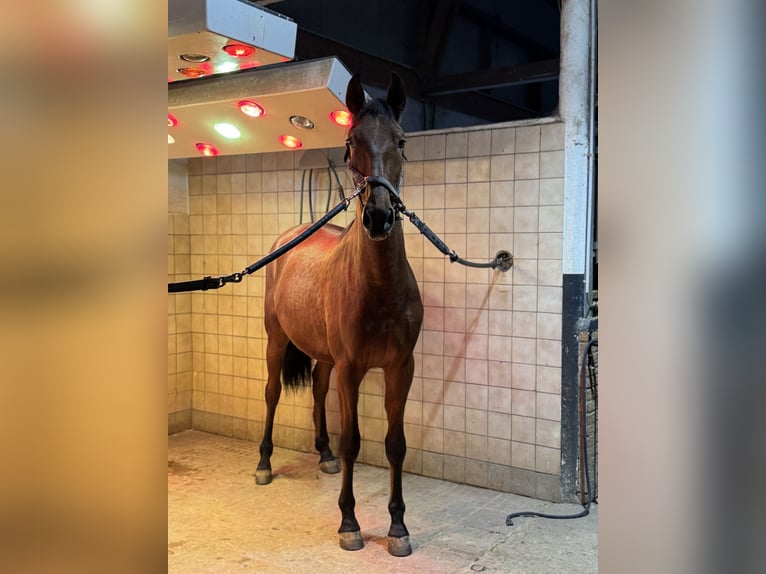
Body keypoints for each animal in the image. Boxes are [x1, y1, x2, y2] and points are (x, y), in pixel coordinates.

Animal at [254, 72, 424, 557]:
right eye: (350, 143)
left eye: (401, 141)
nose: (379, 217)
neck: (379, 288)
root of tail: (289, 237)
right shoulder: (352, 368)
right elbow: (354, 442)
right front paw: (349, 523)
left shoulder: (399, 367)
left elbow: (395, 444)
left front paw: (398, 527)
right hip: (277, 341)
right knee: (272, 393)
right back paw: (264, 463)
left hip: (325, 356)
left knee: (316, 388)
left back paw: (323, 454)